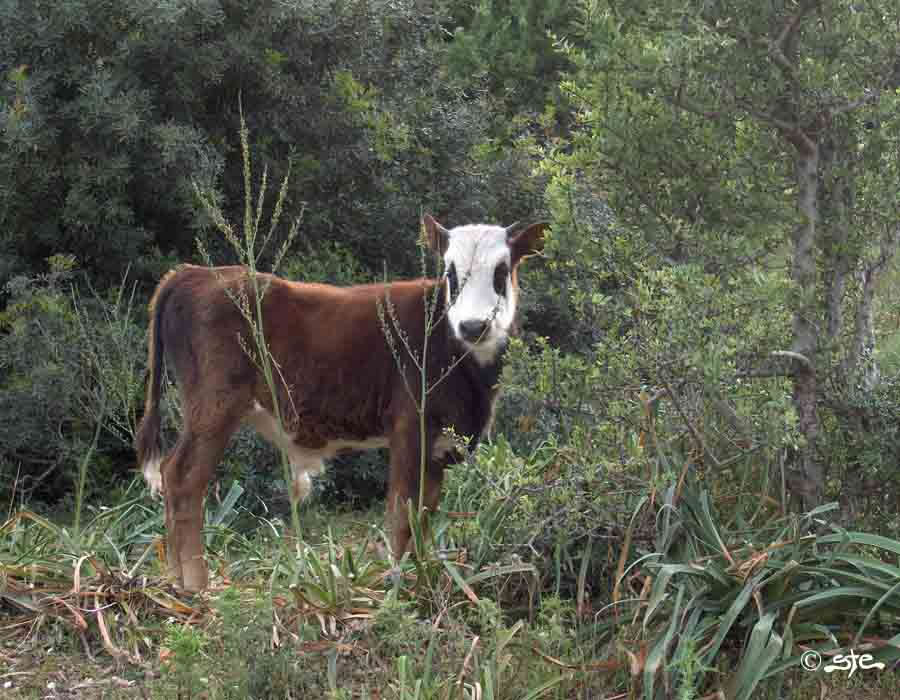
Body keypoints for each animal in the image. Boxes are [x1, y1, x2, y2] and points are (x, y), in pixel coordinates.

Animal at [133, 215, 540, 592]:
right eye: (450, 272)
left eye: (501, 271)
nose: (473, 326)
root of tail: (194, 273)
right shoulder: (410, 429)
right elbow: (401, 514)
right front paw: (397, 588)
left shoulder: (438, 446)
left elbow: (424, 515)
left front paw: (421, 580)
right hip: (214, 407)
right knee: (183, 477)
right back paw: (195, 586)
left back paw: (176, 581)